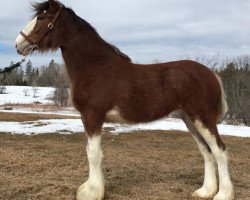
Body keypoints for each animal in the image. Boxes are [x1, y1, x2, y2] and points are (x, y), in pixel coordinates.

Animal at [15, 0, 234, 199]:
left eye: (42, 18)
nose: (18, 44)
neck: (95, 67)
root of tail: (212, 74)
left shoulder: (92, 116)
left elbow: (93, 154)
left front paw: (92, 192)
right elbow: (93, 152)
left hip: (203, 119)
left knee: (220, 151)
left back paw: (222, 194)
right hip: (189, 119)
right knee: (206, 152)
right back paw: (205, 191)